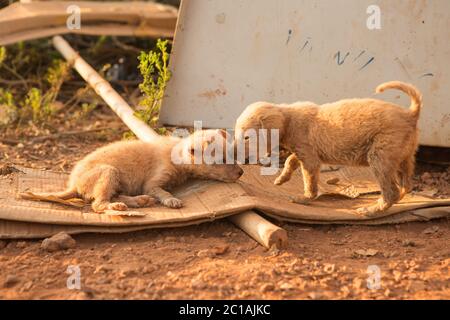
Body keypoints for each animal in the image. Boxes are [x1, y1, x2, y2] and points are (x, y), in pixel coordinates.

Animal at [32, 129, 243, 214]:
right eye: (222, 160)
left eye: (233, 154)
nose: (241, 172)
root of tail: (73, 185)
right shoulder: (152, 183)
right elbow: (162, 191)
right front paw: (172, 200)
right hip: (108, 172)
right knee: (98, 204)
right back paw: (118, 206)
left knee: (114, 195)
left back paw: (139, 201)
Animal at [236, 80, 422, 216]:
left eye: (247, 137)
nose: (236, 158)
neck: (288, 119)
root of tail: (410, 114)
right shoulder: (304, 151)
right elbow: (290, 160)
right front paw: (282, 179)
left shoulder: (310, 158)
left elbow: (309, 181)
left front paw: (305, 198)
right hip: (403, 156)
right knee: (405, 185)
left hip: (380, 156)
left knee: (391, 191)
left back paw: (371, 209)